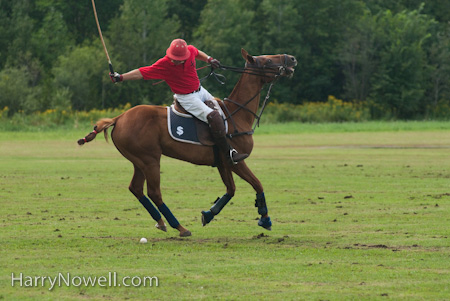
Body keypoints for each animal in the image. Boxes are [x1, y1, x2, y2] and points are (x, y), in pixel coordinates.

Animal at [78, 49, 296, 236]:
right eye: (267, 61)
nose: (292, 59)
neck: (238, 113)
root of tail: (119, 118)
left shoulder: (222, 162)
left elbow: (231, 190)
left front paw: (208, 214)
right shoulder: (236, 160)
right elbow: (257, 183)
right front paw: (265, 219)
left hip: (138, 160)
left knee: (136, 188)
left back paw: (161, 222)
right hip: (150, 159)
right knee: (154, 192)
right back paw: (179, 227)